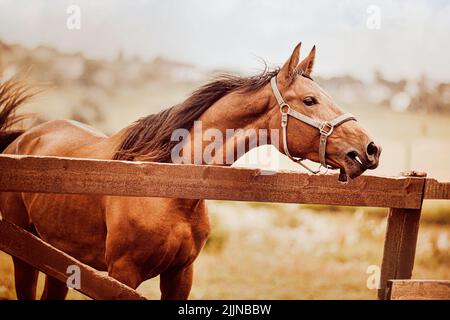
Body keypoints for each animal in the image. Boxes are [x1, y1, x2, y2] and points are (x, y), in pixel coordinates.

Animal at [0, 43, 380, 300]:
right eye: (310, 101)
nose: (370, 149)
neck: (169, 190)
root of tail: (23, 140)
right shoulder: (122, 275)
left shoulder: (180, 275)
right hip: (25, 254)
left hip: (59, 259)